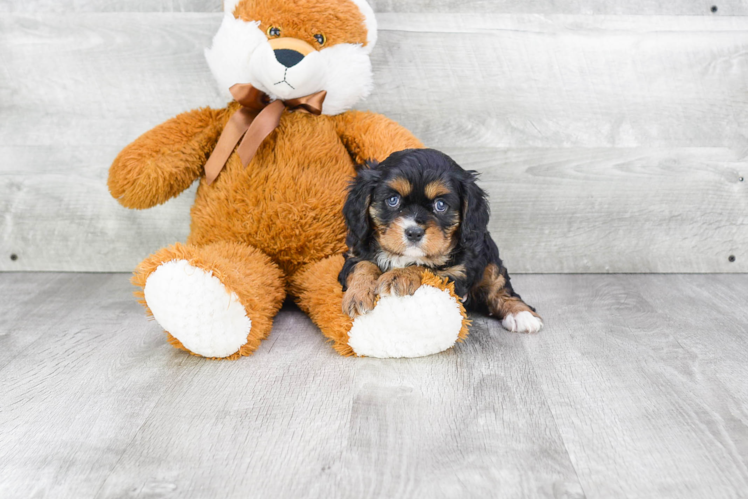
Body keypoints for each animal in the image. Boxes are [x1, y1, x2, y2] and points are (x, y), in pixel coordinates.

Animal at [338, 149, 544, 336]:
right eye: (393, 200)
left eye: (441, 205)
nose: (414, 232)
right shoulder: (354, 253)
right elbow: (363, 265)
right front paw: (357, 295)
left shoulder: (457, 272)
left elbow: (426, 267)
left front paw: (399, 276)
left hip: (489, 260)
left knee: (499, 286)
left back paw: (521, 315)